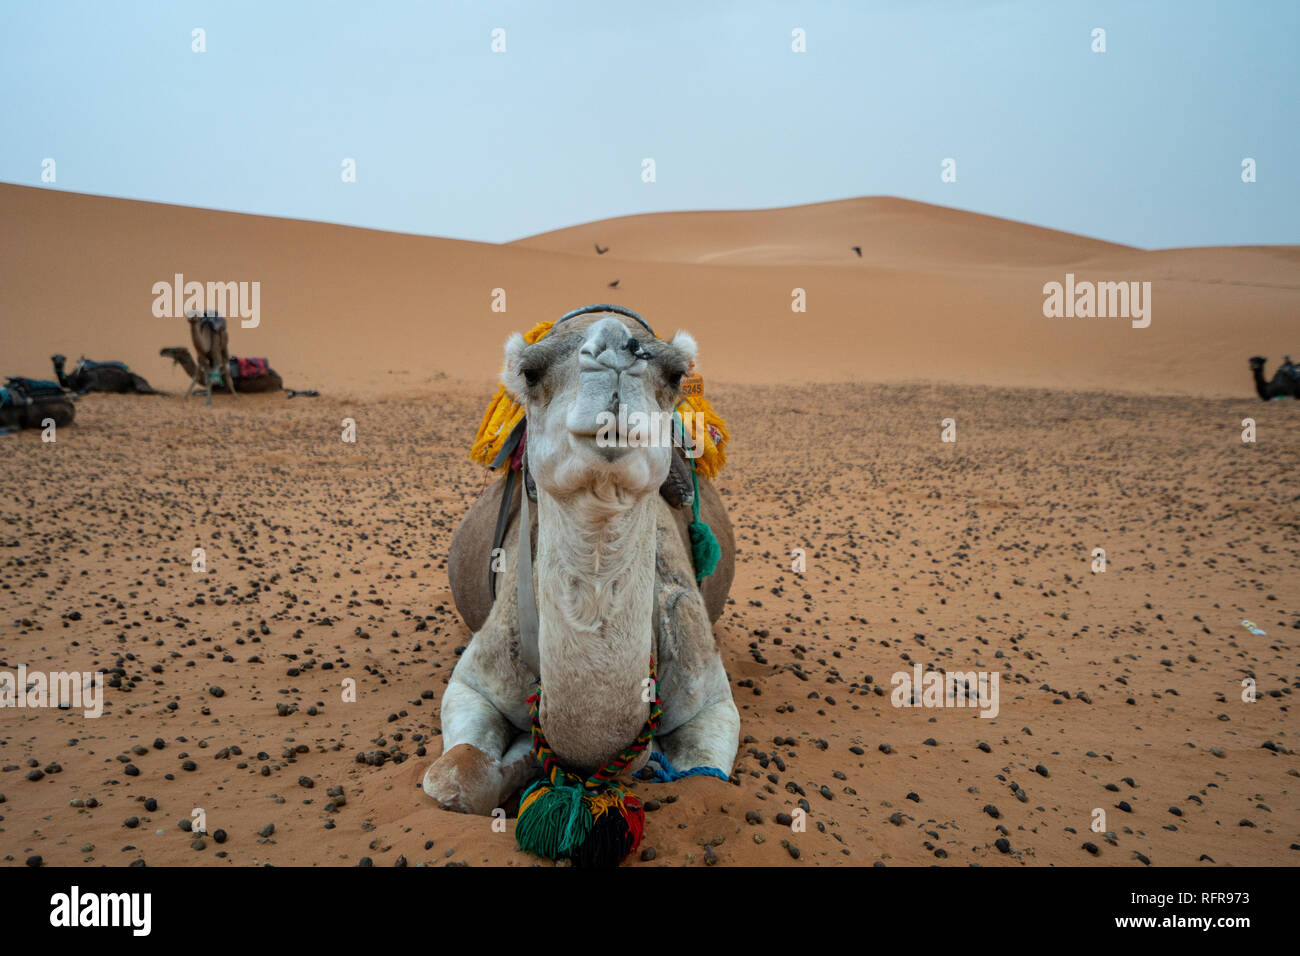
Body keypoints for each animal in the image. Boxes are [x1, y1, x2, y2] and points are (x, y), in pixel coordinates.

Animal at [421, 310, 738, 832]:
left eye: (675, 374)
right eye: (530, 373)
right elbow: (456, 776)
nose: (615, 348)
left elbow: (706, 783)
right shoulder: (473, 683)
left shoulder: (710, 697)